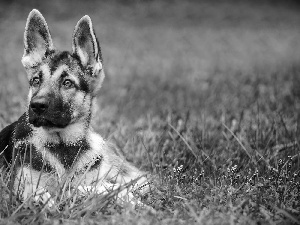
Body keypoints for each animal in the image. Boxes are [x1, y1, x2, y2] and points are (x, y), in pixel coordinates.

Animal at [0, 9, 150, 205]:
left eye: (67, 83)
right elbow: (41, 192)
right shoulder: (21, 186)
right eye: (36, 80)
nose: (36, 105)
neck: (63, 144)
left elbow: (85, 187)